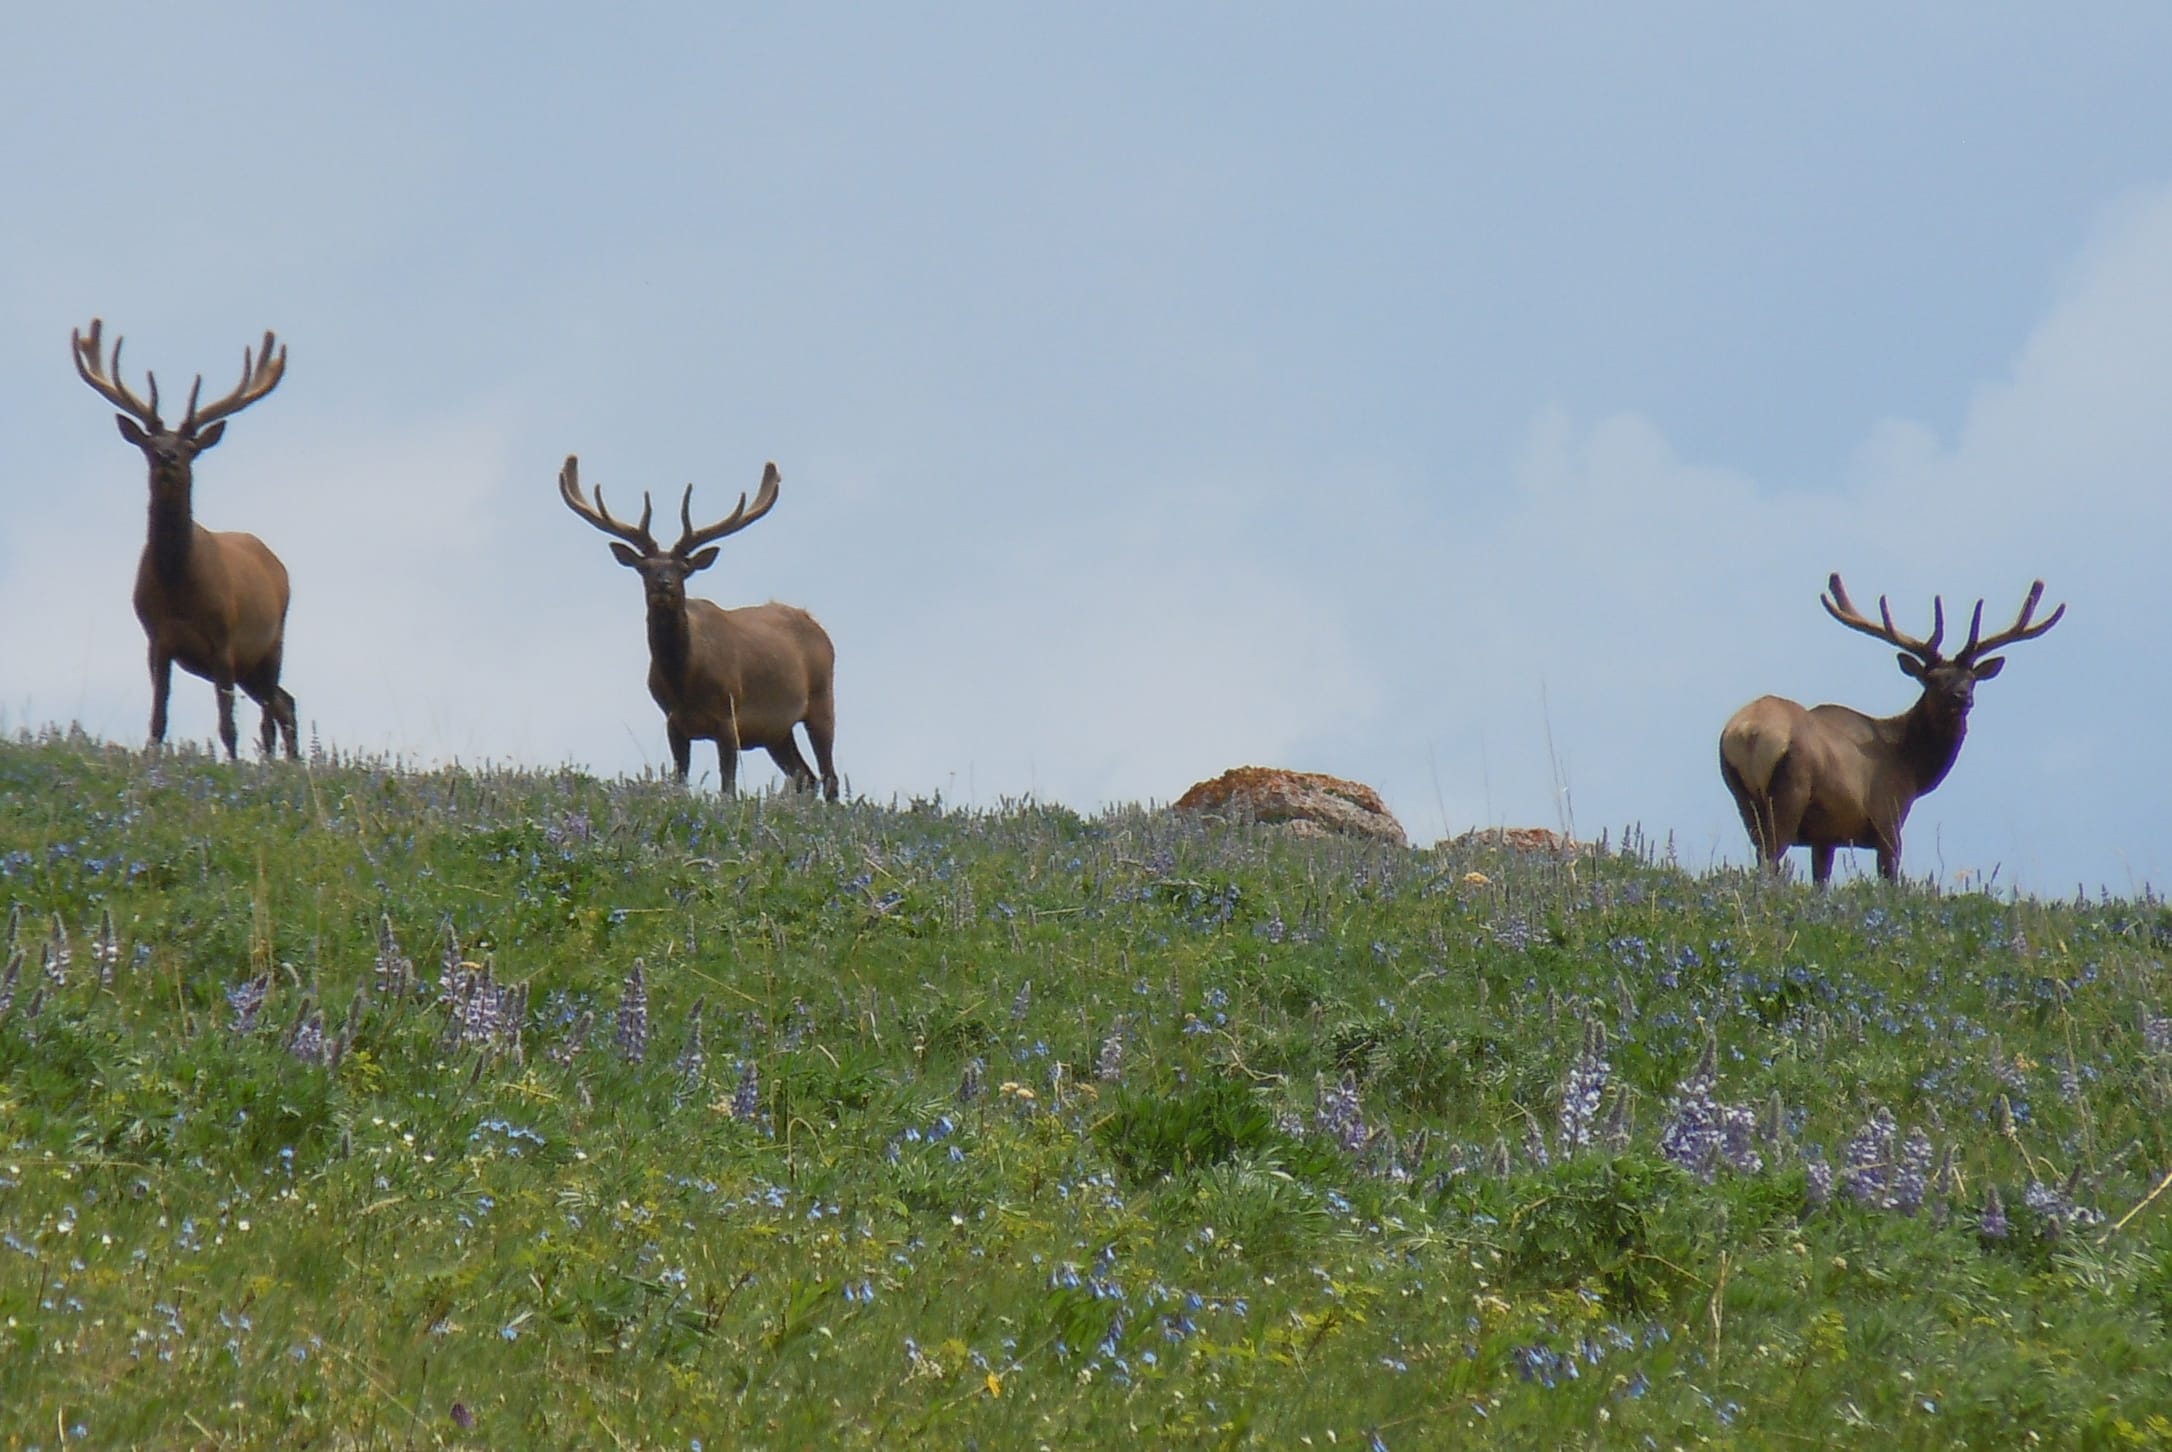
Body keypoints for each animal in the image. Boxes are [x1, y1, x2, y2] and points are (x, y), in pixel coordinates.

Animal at [70, 314, 299, 759]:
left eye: (191, 447)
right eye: (148, 443)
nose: (167, 456)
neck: (180, 588)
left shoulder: (224, 638)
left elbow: (227, 726)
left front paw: (231, 764)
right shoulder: (157, 639)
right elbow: (158, 719)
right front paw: (153, 761)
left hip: (272, 642)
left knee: (271, 711)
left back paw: (277, 762)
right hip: (251, 667)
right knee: (285, 702)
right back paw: (292, 762)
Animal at [560, 455, 838, 798]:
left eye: (683, 568)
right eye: (644, 568)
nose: (663, 584)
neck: (685, 682)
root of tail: (818, 627)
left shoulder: (728, 716)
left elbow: (728, 787)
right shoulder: (673, 722)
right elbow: (679, 778)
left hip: (822, 698)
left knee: (829, 777)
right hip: (776, 731)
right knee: (805, 776)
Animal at [1720, 577, 2059, 885]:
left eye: (1972, 678)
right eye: (1932, 678)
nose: (1962, 697)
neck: (1912, 769)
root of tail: (1749, 732)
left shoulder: (1825, 836)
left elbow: (1821, 883)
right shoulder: (1888, 821)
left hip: (1742, 797)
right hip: (1792, 789)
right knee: (1770, 859)